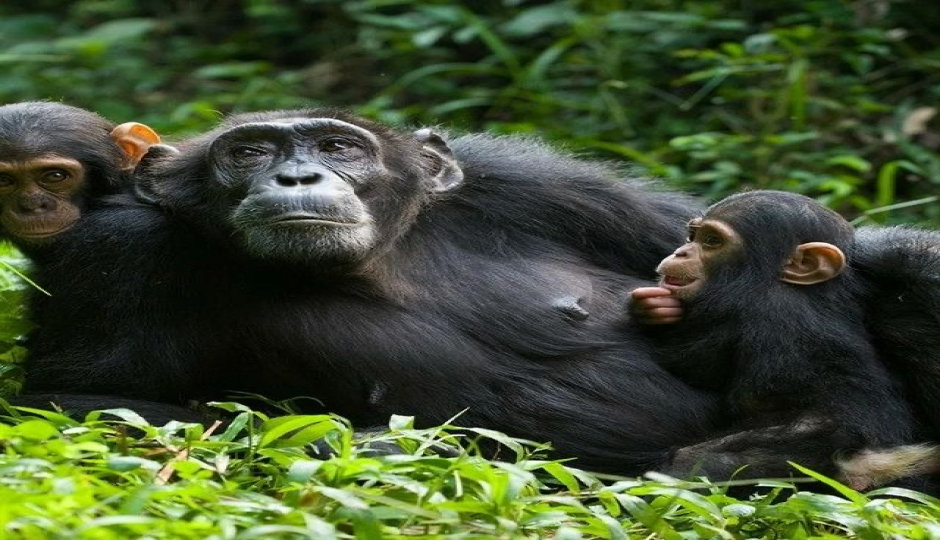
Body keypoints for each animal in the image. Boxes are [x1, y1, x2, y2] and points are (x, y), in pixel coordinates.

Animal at [23, 107, 728, 474]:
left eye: (339, 147)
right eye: (249, 153)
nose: (297, 176)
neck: (380, 259)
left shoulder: (539, 183)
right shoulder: (117, 251)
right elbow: (74, 401)